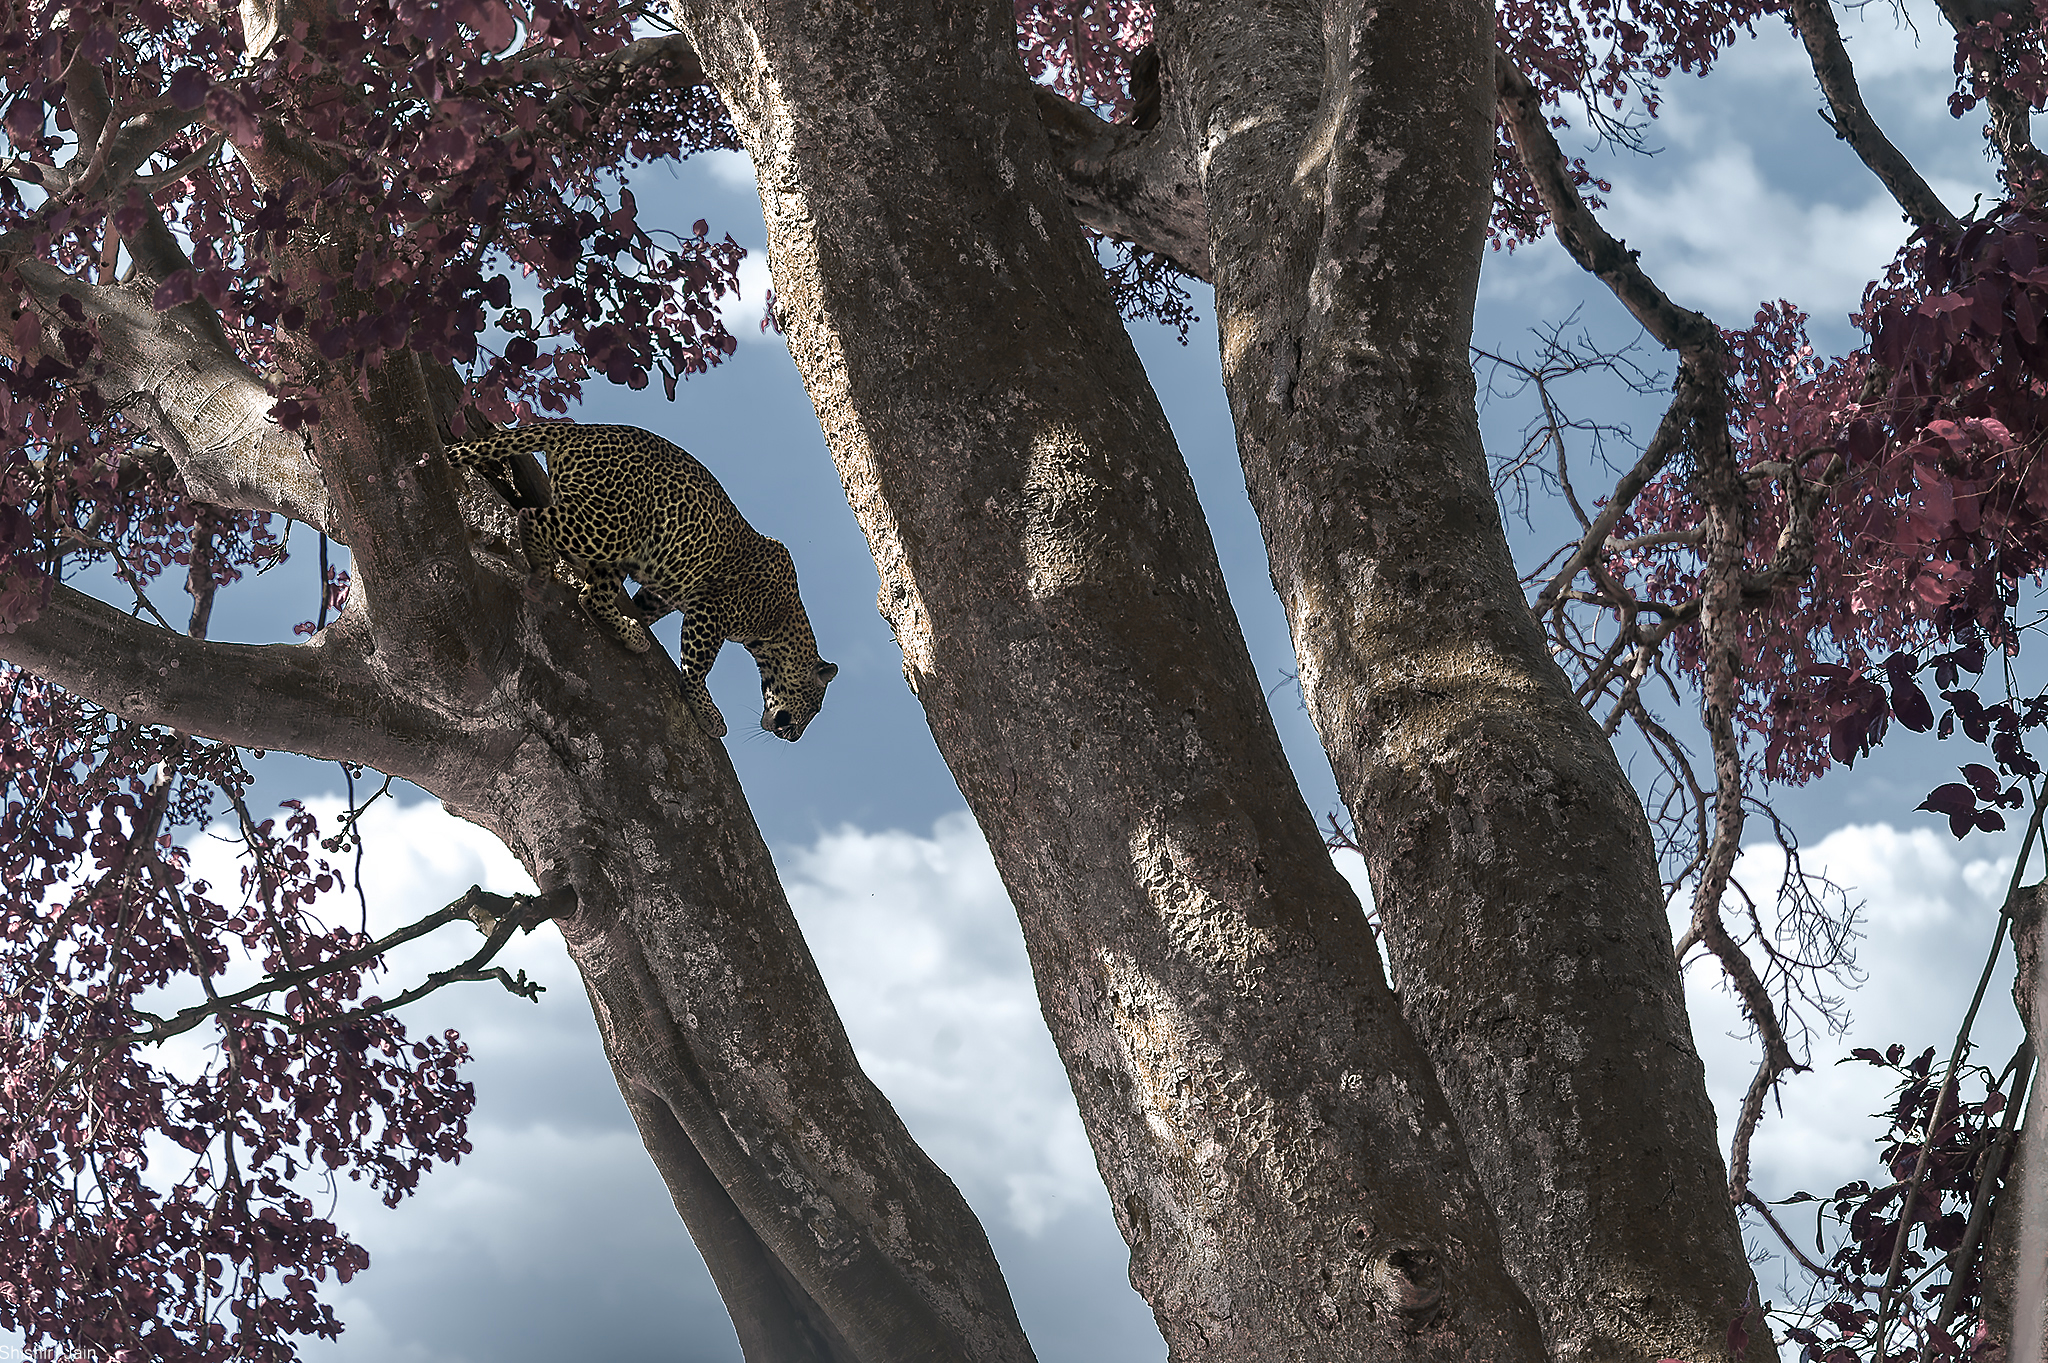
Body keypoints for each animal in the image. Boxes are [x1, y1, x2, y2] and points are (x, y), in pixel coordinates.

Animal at [444, 425, 835, 744]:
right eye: (813, 707)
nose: (794, 736)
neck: (779, 625)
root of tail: (581, 428)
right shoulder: (711, 612)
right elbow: (697, 667)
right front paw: (708, 713)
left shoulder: (669, 595)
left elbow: (648, 607)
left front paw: (641, 623)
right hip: (607, 526)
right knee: (534, 519)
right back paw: (541, 570)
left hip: (621, 544)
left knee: (591, 597)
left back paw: (629, 633)